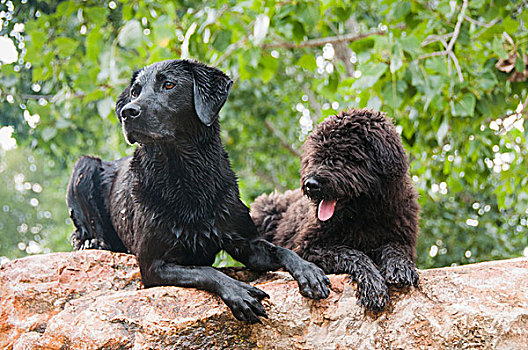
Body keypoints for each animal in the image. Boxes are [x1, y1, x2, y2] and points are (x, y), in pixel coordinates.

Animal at [66, 59, 330, 322]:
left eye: (169, 85)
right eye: (134, 92)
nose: (127, 112)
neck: (185, 177)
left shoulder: (247, 242)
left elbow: (281, 250)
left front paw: (309, 271)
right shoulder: (153, 265)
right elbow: (204, 270)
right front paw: (239, 292)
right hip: (85, 165)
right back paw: (91, 242)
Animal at [252, 108, 420, 312]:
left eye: (343, 155)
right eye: (316, 155)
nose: (310, 184)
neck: (364, 216)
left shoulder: (402, 238)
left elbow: (395, 249)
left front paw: (399, 267)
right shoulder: (308, 247)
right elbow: (352, 253)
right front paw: (373, 286)